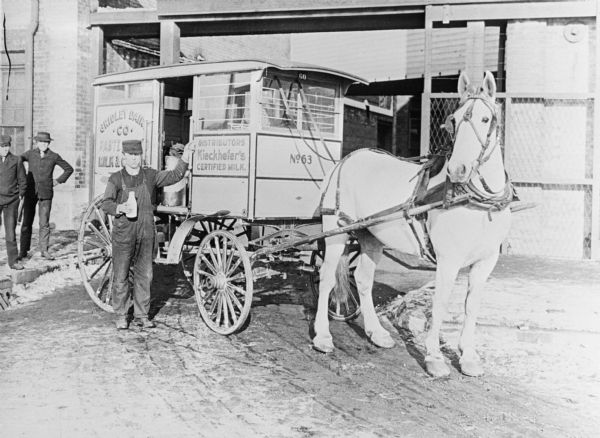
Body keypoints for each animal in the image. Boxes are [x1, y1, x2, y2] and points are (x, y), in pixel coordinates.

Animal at [314, 71, 510, 376]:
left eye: (485, 119)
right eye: (454, 120)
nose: (458, 170)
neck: (477, 203)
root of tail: (348, 158)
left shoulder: (485, 262)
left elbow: (471, 307)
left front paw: (468, 357)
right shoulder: (448, 261)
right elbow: (440, 304)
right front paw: (434, 357)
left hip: (371, 236)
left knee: (363, 280)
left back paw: (376, 333)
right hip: (335, 231)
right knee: (326, 278)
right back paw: (322, 336)